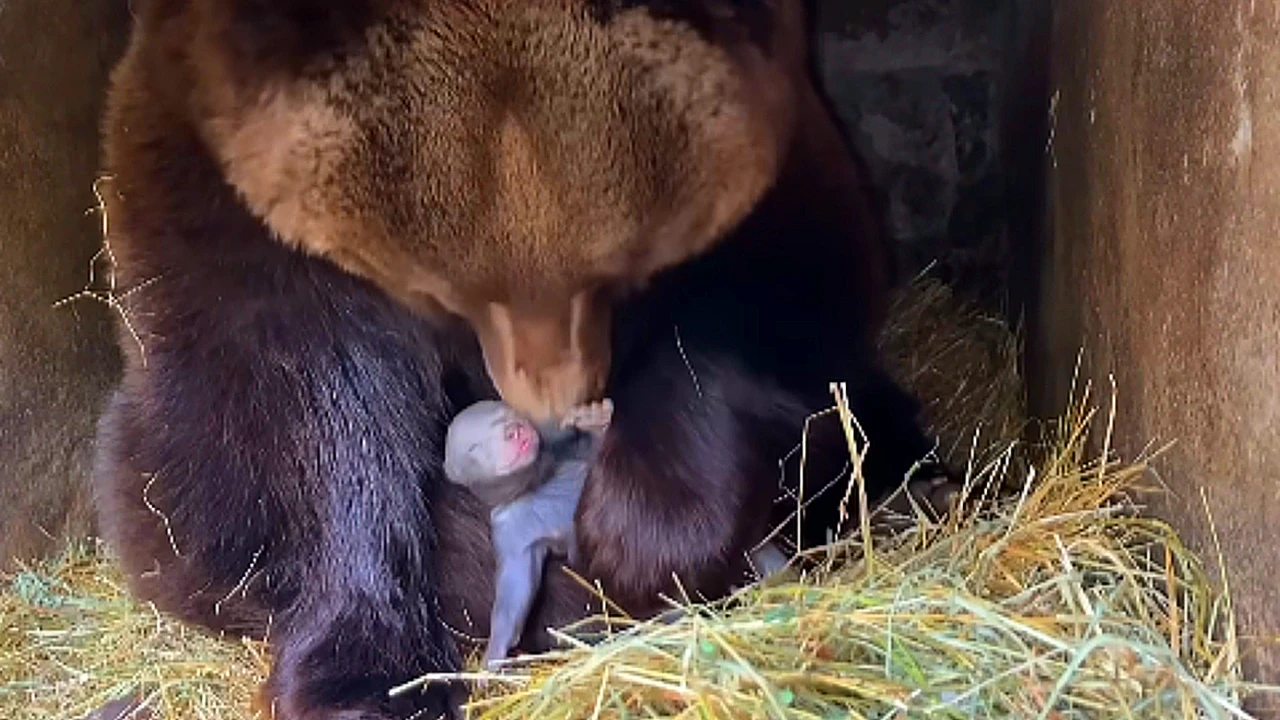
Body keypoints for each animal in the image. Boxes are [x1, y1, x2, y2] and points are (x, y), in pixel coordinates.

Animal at [94, 1, 947, 717]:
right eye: (449, 289)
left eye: (618, 268)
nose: (555, 408)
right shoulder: (210, 196)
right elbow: (293, 405)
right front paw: (366, 679)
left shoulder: (791, 161)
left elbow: (776, 302)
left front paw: (642, 535)